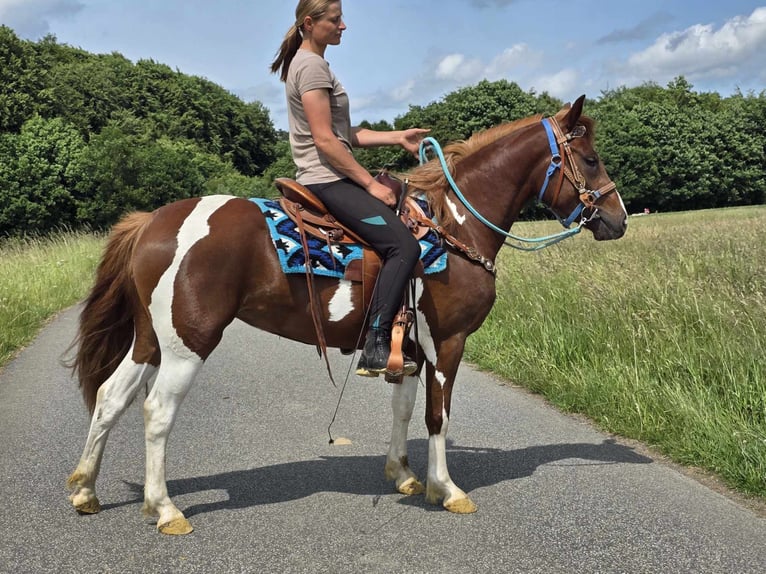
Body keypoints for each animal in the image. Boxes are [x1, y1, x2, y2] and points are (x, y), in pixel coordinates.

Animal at [66, 95, 627, 535]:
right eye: (590, 159)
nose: (617, 220)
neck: (454, 224)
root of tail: (152, 221)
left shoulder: (408, 346)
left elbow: (404, 408)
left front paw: (403, 474)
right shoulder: (447, 342)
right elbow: (437, 415)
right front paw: (446, 488)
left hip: (150, 340)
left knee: (111, 398)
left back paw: (87, 489)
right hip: (188, 344)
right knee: (156, 411)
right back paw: (164, 509)